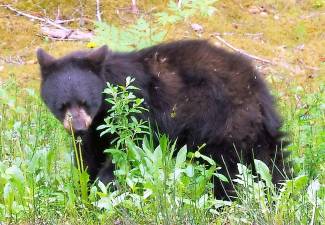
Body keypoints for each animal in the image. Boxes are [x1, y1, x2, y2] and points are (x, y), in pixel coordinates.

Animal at [36, 39, 288, 198]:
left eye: (85, 102)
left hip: (224, 123)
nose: (77, 128)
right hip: (254, 131)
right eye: (62, 105)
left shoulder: (136, 106)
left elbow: (130, 147)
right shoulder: (95, 127)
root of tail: (258, 91)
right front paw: (84, 191)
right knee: (270, 161)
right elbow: (87, 156)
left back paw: (223, 200)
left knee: (227, 168)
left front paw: (104, 187)